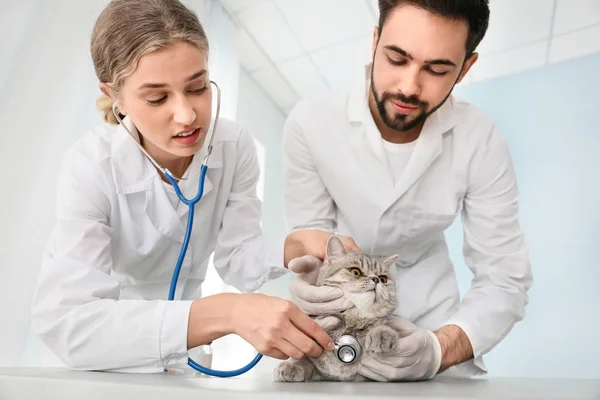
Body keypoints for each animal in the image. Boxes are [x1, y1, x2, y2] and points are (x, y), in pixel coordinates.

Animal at [276, 236, 398, 382]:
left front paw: (382, 333)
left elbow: (380, 324)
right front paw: (295, 365)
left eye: (383, 278)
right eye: (355, 272)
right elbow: (307, 357)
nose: (376, 279)